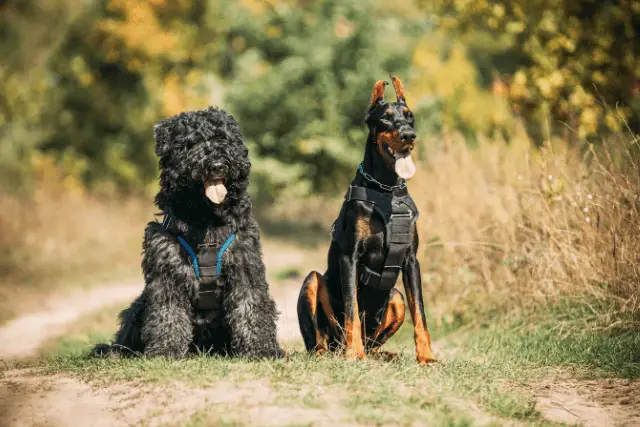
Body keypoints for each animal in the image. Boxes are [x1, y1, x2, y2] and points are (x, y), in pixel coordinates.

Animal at [91, 108, 284, 362]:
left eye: (224, 139)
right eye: (192, 143)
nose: (217, 164)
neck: (207, 219)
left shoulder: (245, 267)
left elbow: (251, 307)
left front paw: (262, 349)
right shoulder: (167, 271)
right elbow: (168, 314)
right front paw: (166, 351)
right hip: (138, 308)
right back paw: (115, 351)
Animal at [298, 75, 438, 362]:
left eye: (410, 116)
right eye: (385, 118)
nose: (409, 136)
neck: (385, 189)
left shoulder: (411, 260)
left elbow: (420, 313)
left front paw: (427, 357)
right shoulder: (349, 257)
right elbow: (352, 308)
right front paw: (355, 354)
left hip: (395, 297)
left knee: (375, 340)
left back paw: (383, 354)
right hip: (313, 281)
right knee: (321, 338)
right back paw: (337, 351)